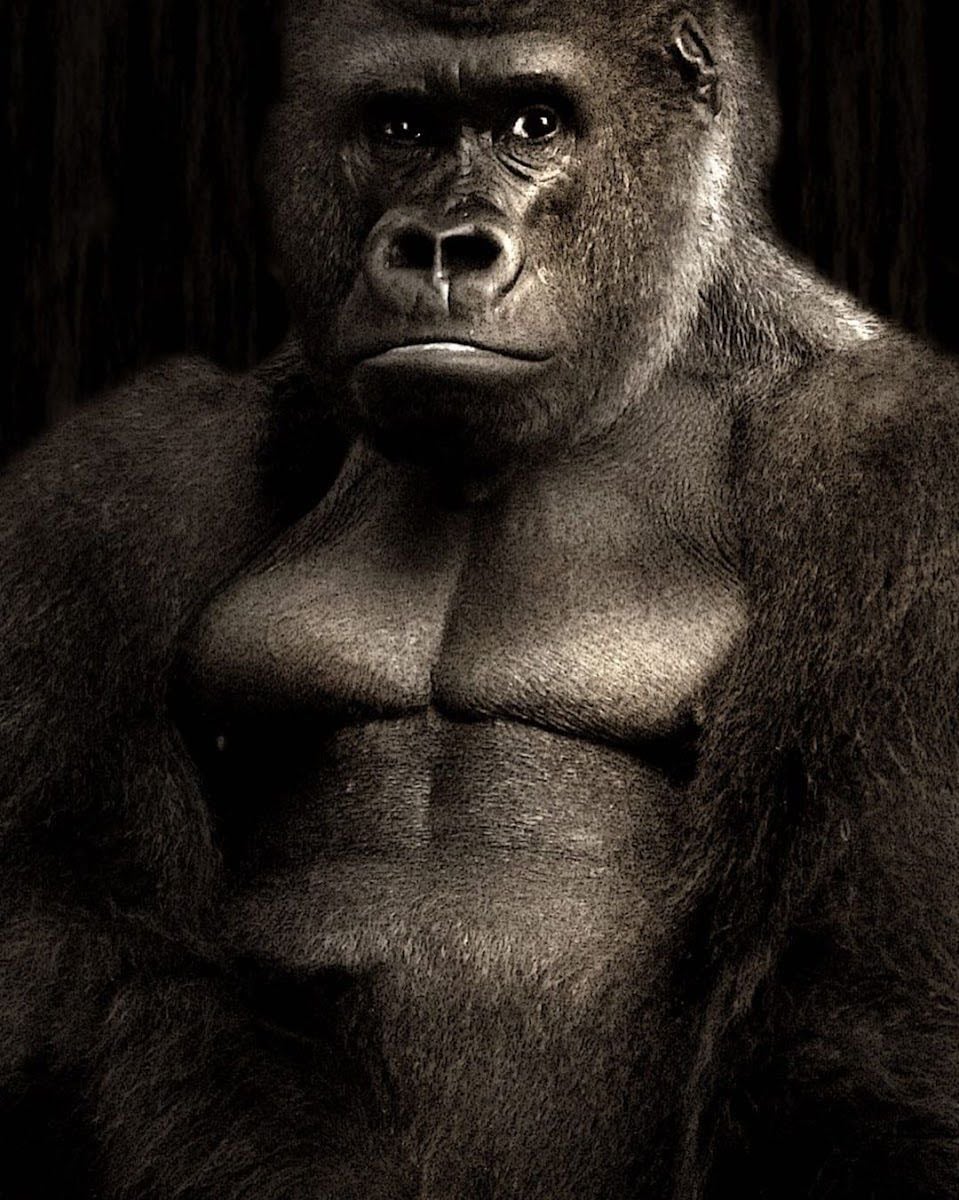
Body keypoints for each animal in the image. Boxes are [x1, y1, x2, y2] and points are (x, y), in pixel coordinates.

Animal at [2, 0, 959, 1197]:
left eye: (533, 121)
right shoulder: (126, 481)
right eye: (402, 125)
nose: (442, 247)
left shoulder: (898, 464)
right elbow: (92, 941)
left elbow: (856, 1015)